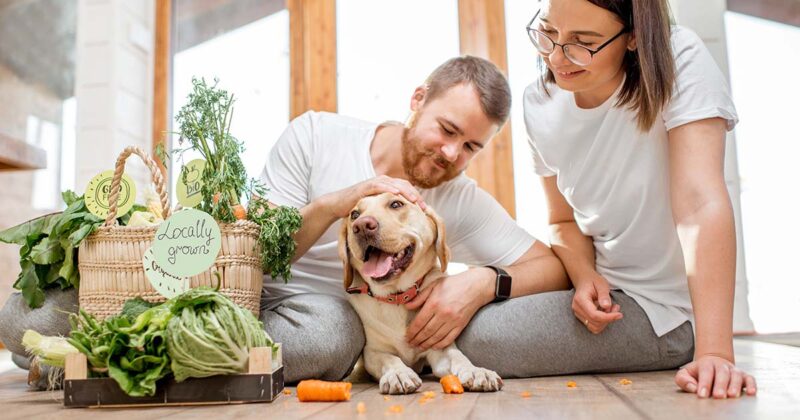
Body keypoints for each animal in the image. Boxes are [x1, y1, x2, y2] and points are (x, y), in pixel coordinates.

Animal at [336, 192, 500, 396]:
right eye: (355, 215)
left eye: (396, 204)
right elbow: (389, 359)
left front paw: (476, 371)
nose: (362, 226)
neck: (397, 296)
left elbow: (458, 356)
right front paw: (399, 373)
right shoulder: (373, 352)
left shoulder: (438, 348)